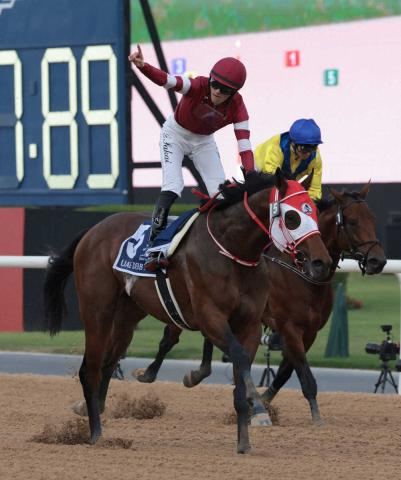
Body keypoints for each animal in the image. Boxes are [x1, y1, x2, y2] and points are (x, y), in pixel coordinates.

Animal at [43, 172, 332, 454]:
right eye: (292, 217)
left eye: (314, 210)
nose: (322, 263)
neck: (231, 250)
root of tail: (94, 230)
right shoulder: (210, 317)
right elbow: (238, 355)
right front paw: (259, 408)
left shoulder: (249, 323)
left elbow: (243, 365)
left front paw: (244, 439)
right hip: (97, 310)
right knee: (89, 370)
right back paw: (96, 435)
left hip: (127, 315)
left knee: (107, 364)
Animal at [134, 183, 384, 424]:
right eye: (352, 222)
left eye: (373, 219)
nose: (378, 261)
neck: (299, 272)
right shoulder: (288, 326)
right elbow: (303, 373)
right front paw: (315, 418)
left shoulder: (310, 331)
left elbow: (286, 371)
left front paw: (262, 400)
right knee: (170, 338)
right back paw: (150, 373)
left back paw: (197, 372)